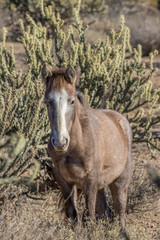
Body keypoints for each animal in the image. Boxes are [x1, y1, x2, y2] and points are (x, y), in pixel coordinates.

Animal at [41, 64, 132, 230]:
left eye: (71, 101)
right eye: (47, 102)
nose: (60, 142)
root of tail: (121, 120)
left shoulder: (90, 180)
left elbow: (90, 215)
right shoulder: (64, 181)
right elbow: (73, 214)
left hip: (120, 182)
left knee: (120, 213)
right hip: (101, 186)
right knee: (105, 211)